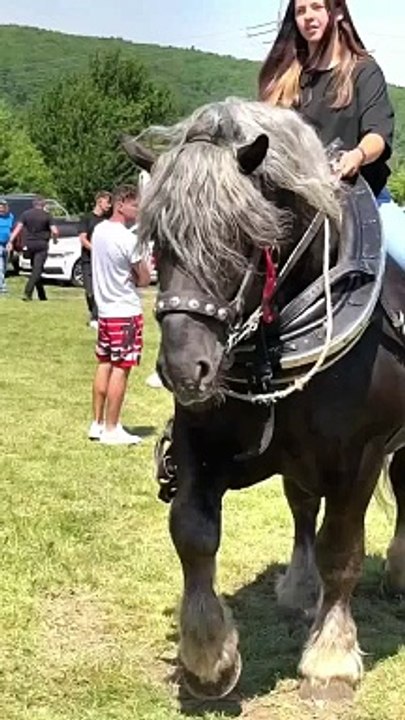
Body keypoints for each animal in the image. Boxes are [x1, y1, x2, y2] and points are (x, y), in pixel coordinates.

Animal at [124, 99, 405, 701]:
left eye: (238, 236)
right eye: (158, 240)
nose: (184, 367)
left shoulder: (362, 454)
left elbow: (342, 550)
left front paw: (330, 660)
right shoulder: (200, 443)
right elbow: (193, 532)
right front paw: (208, 657)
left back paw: (395, 572)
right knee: (301, 508)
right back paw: (301, 590)